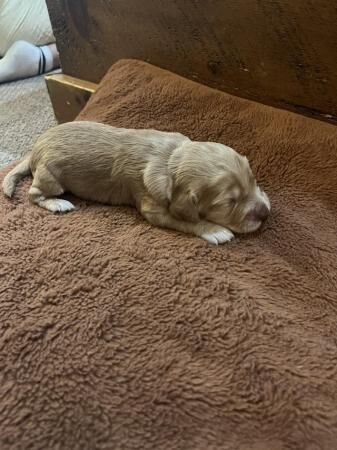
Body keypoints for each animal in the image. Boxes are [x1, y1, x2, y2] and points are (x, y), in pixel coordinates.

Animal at [2, 121, 270, 244]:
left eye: (253, 179)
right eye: (229, 202)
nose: (265, 214)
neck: (171, 159)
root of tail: (35, 149)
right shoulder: (154, 209)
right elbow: (187, 221)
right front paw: (214, 230)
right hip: (51, 177)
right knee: (34, 194)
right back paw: (58, 204)